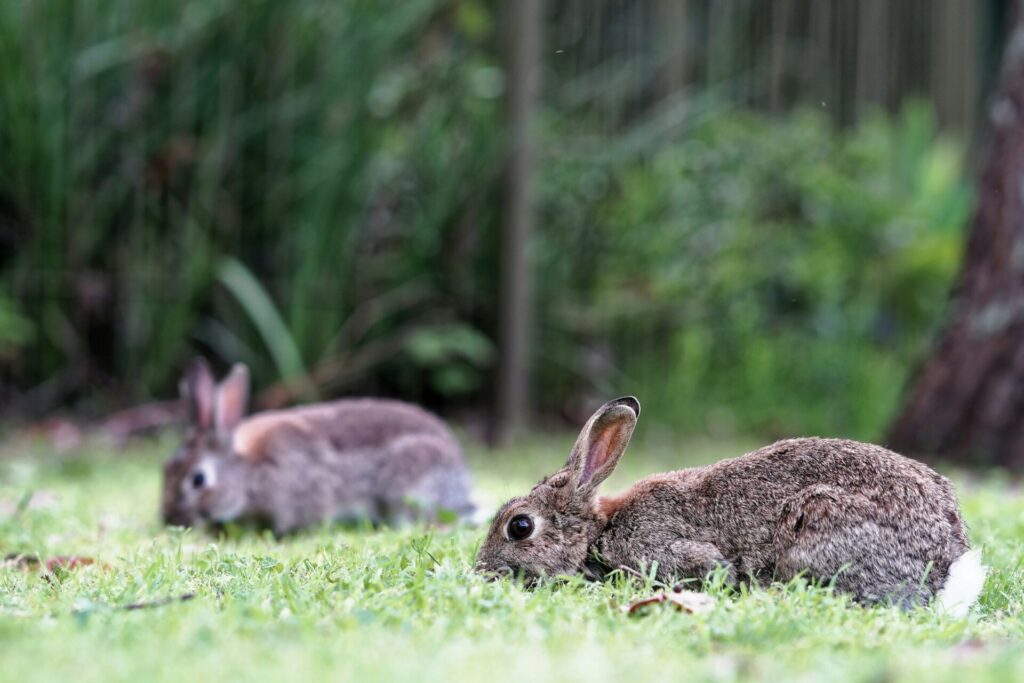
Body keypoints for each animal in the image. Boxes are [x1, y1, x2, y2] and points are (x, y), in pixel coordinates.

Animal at [475, 395, 987, 614]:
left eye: (519, 527)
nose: (482, 571)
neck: (599, 530)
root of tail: (948, 567)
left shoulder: (667, 551)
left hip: (818, 524)